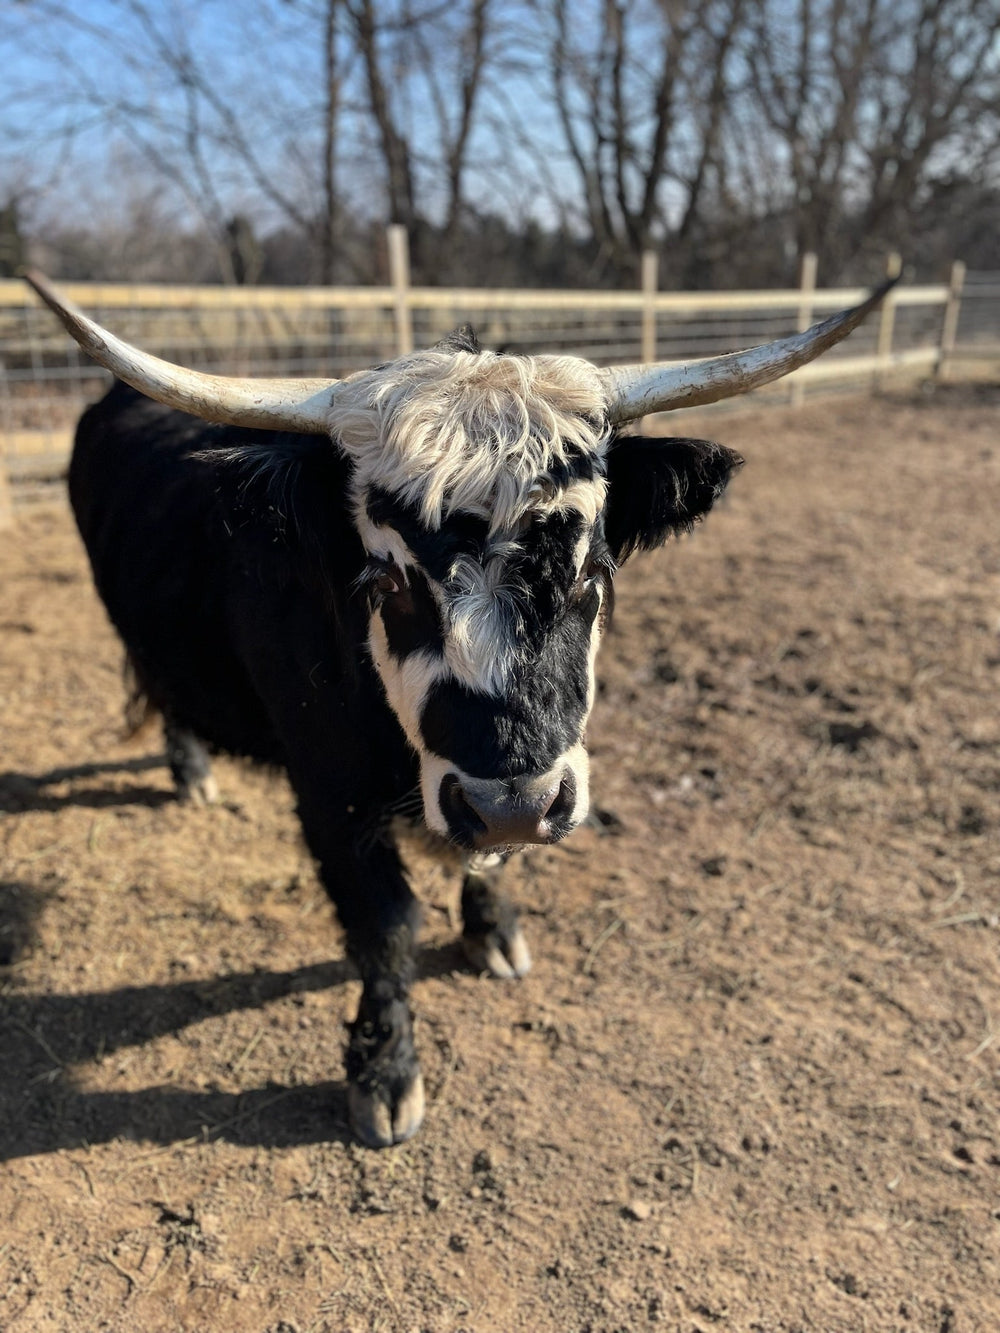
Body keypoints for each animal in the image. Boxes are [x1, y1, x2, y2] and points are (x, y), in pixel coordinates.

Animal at [27, 271, 890, 1147]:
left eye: (591, 571)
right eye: (388, 581)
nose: (511, 801)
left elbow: (490, 863)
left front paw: (492, 930)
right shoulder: (328, 796)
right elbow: (385, 926)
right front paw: (384, 1070)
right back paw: (192, 770)